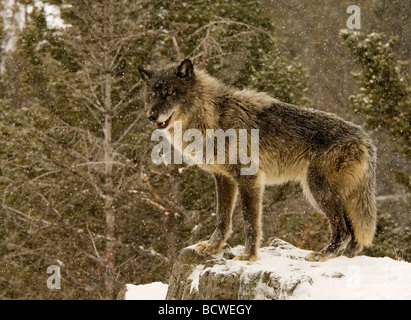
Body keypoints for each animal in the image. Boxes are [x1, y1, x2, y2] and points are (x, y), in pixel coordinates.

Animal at [140, 58, 378, 262]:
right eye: (152, 94)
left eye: (170, 92)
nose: (151, 116)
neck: (213, 118)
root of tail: (366, 139)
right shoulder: (223, 178)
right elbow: (222, 219)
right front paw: (212, 247)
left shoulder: (249, 179)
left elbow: (249, 221)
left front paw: (248, 256)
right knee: (354, 236)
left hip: (317, 190)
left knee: (344, 231)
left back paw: (322, 255)